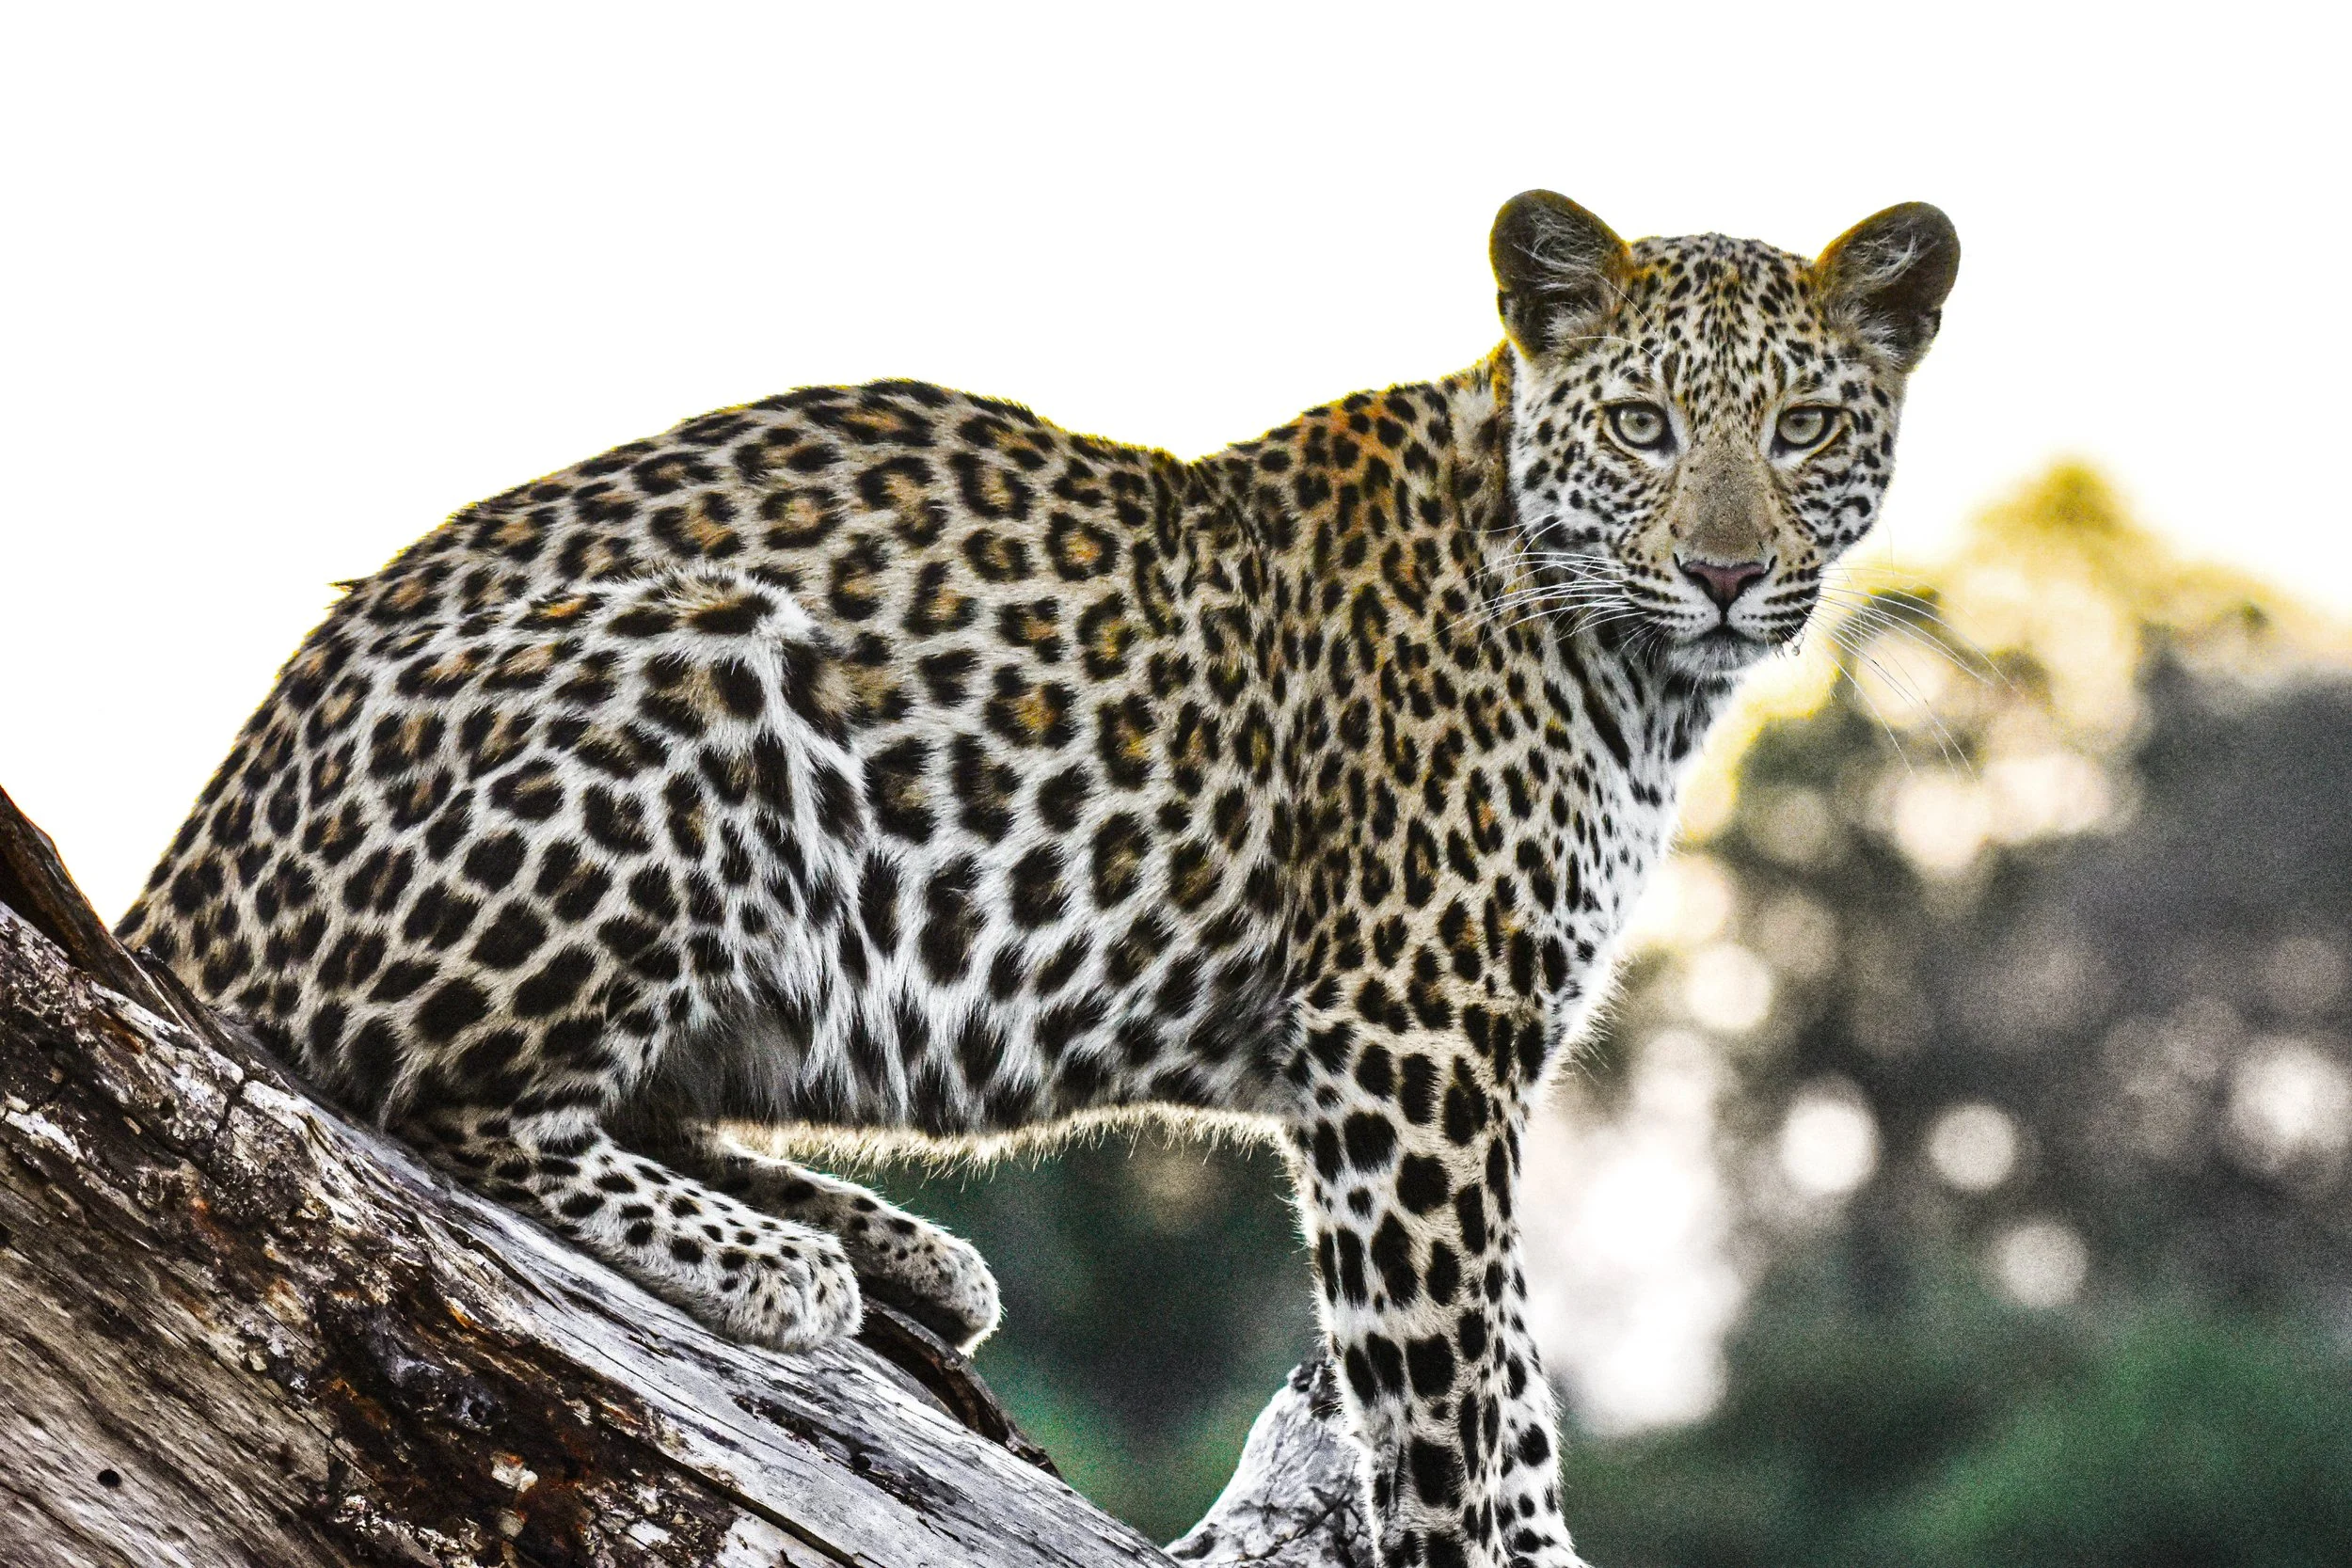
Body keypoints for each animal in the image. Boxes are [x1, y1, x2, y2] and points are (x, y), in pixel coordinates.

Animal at [120, 190, 1957, 1568]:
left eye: (1803, 429)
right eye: (1644, 427)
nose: (1722, 571)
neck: (1638, 678)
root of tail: (190, 859)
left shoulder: (1462, 1053)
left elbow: (1508, 1375)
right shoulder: (1411, 1040)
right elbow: (1451, 1391)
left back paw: (899, 1248)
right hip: (701, 660)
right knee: (422, 1091)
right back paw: (772, 1261)